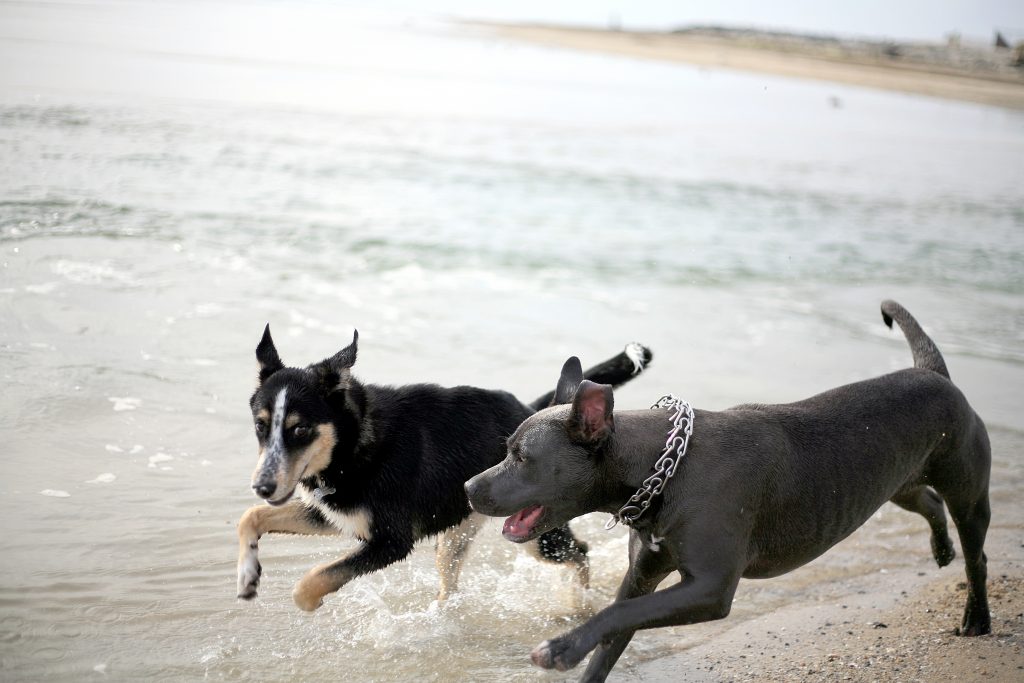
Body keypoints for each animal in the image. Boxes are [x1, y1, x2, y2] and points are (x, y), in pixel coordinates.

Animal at [236, 327, 651, 610]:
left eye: (300, 429)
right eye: (260, 425)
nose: (262, 486)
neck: (355, 442)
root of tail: (534, 411)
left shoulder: (390, 541)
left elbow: (310, 582)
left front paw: (310, 600)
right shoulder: (336, 514)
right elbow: (251, 517)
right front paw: (247, 576)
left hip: (538, 535)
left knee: (580, 552)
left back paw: (577, 604)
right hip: (456, 533)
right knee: (451, 580)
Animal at [466, 301, 991, 679]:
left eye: (521, 457)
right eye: (506, 447)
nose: (468, 487)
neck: (665, 469)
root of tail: (934, 373)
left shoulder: (710, 587)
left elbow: (616, 616)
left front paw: (562, 647)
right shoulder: (642, 574)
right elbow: (615, 627)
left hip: (968, 493)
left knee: (976, 554)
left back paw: (977, 618)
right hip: (897, 479)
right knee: (927, 501)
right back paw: (941, 549)